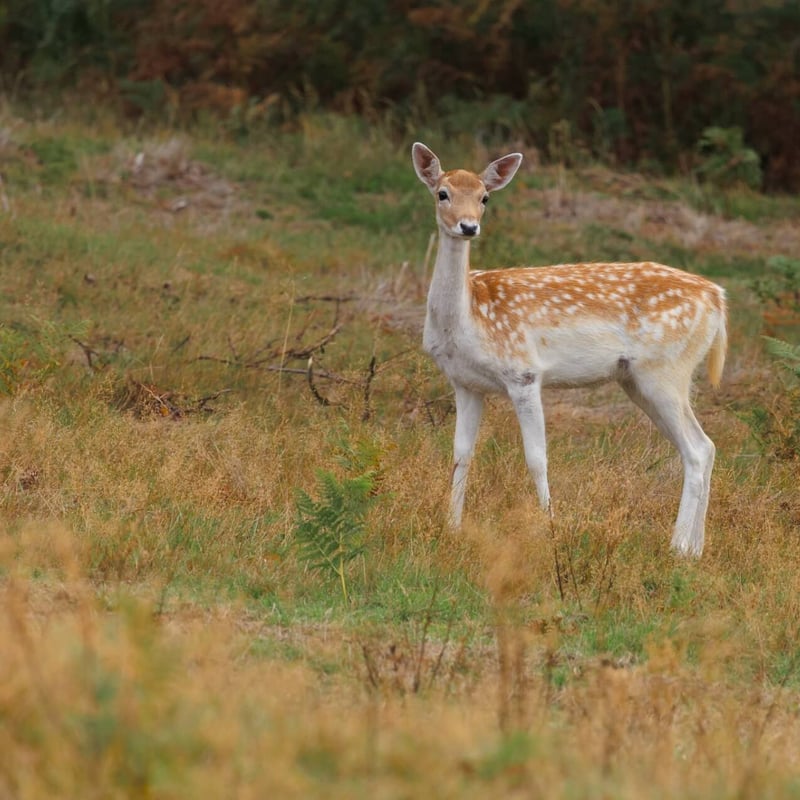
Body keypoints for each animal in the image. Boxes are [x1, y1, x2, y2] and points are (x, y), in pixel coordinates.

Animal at [412, 142, 727, 557]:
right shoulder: (465, 383)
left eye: (484, 197)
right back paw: (695, 550)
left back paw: (678, 547)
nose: (468, 226)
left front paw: (550, 528)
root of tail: (717, 297)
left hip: (667, 369)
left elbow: (537, 458)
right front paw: (452, 527)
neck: (468, 317)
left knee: (697, 449)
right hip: (638, 379)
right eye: (442, 193)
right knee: (702, 448)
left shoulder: (523, 372)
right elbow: (461, 455)